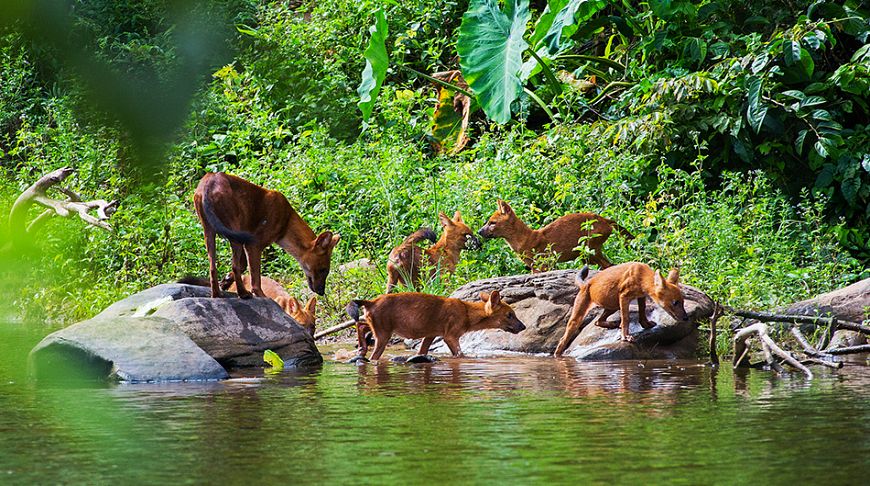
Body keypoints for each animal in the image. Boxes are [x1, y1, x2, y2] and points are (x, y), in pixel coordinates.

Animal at [194, 173, 340, 298]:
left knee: (212, 267)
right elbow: (254, 280)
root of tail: (209, 182)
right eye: (323, 269)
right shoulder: (253, 244)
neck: (287, 221)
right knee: (233, 266)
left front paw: (225, 282)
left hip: (209, 231)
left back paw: (216, 294)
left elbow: (242, 267)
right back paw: (244, 294)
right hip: (234, 231)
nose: (321, 292)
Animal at [346, 288, 524, 360]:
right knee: (374, 355)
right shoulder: (450, 336)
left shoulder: (431, 335)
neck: (468, 313)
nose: (523, 326)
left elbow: (421, 352)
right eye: (510, 315)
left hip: (378, 326)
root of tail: (371, 301)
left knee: (360, 324)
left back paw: (361, 349)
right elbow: (460, 354)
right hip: (384, 333)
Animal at [476, 199, 632, 272]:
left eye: (492, 222)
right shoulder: (536, 267)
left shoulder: (543, 265)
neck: (524, 240)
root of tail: (605, 219)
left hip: (589, 249)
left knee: (608, 265)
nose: (479, 231)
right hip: (587, 254)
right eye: (488, 221)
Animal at [556, 262, 692, 356]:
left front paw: (646, 324)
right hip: (579, 314)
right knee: (563, 340)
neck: (641, 276)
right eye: (675, 303)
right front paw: (626, 337)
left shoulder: (640, 296)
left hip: (613, 304)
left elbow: (642, 312)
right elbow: (626, 318)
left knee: (598, 321)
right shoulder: (623, 296)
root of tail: (586, 284)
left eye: (683, 302)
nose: (686, 318)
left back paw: (614, 324)